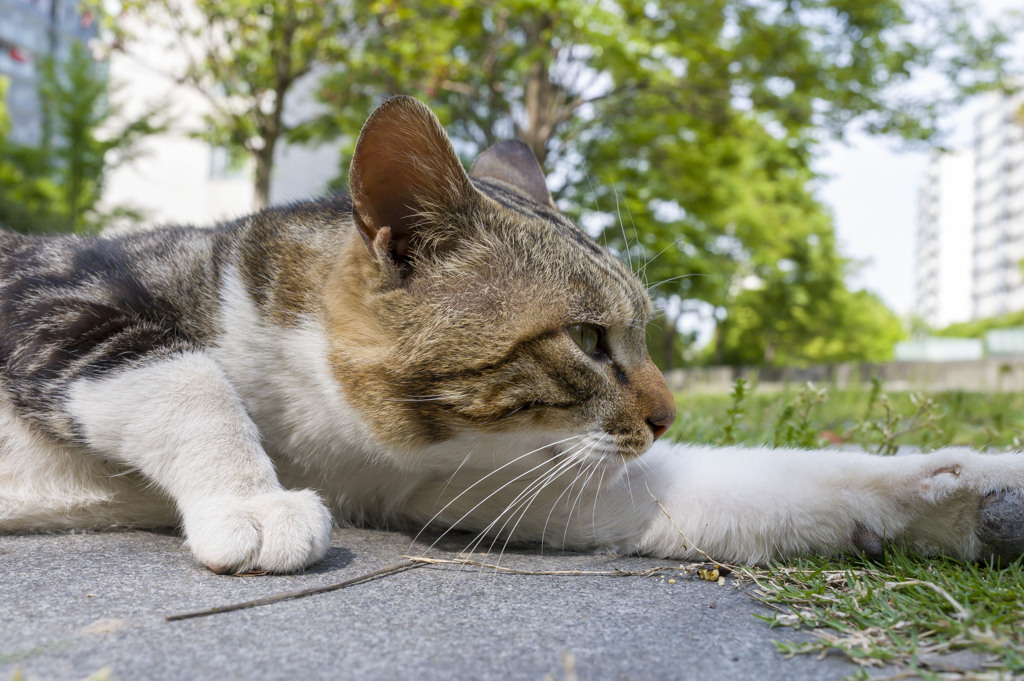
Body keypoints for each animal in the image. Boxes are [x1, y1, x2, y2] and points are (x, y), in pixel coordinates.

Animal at [2, 95, 1024, 573]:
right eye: (590, 339)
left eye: (643, 336)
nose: (667, 416)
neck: (309, 429)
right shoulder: (49, 290)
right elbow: (183, 374)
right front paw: (252, 503)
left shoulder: (459, 485)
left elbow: (748, 489)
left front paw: (967, 486)